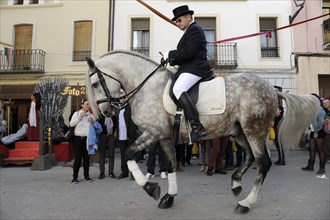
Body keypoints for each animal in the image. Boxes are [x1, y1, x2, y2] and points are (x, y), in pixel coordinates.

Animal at [85, 49, 320, 213]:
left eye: (95, 83)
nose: (105, 112)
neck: (148, 87)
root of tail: (272, 89)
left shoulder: (152, 133)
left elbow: (128, 154)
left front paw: (151, 189)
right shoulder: (164, 137)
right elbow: (170, 165)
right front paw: (169, 197)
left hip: (254, 130)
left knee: (263, 162)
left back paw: (245, 202)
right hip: (239, 132)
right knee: (250, 157)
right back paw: (236, 183)